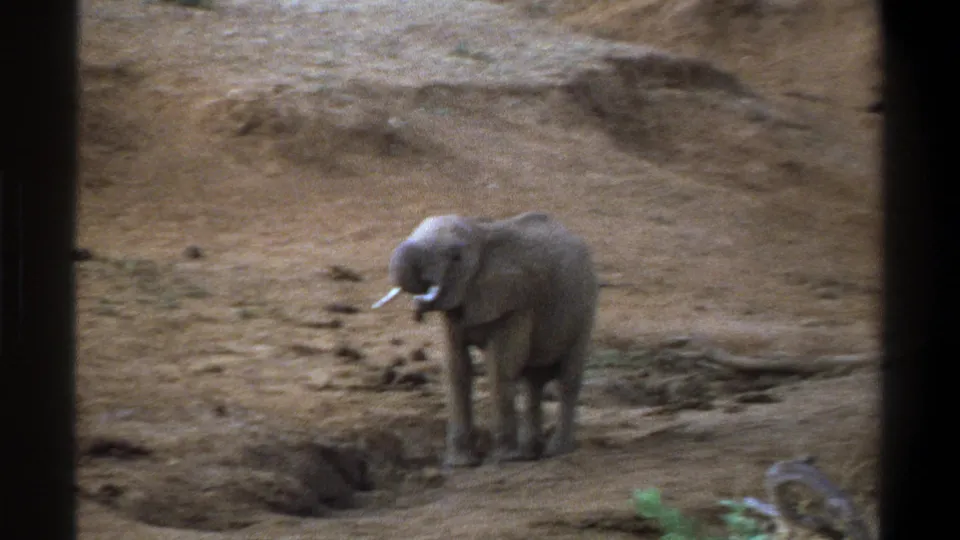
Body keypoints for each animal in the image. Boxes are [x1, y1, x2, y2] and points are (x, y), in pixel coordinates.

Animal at [372, 211, 598, 467]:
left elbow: (500, 368)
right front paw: (460, 464)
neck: (481, 234)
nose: (418, 311)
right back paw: (531, 452)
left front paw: (505, 459)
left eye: (456, 257)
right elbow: (456, 369)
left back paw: (556, 451)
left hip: (585, 309)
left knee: (568, 379)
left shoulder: (516, 301)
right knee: (533, 382)